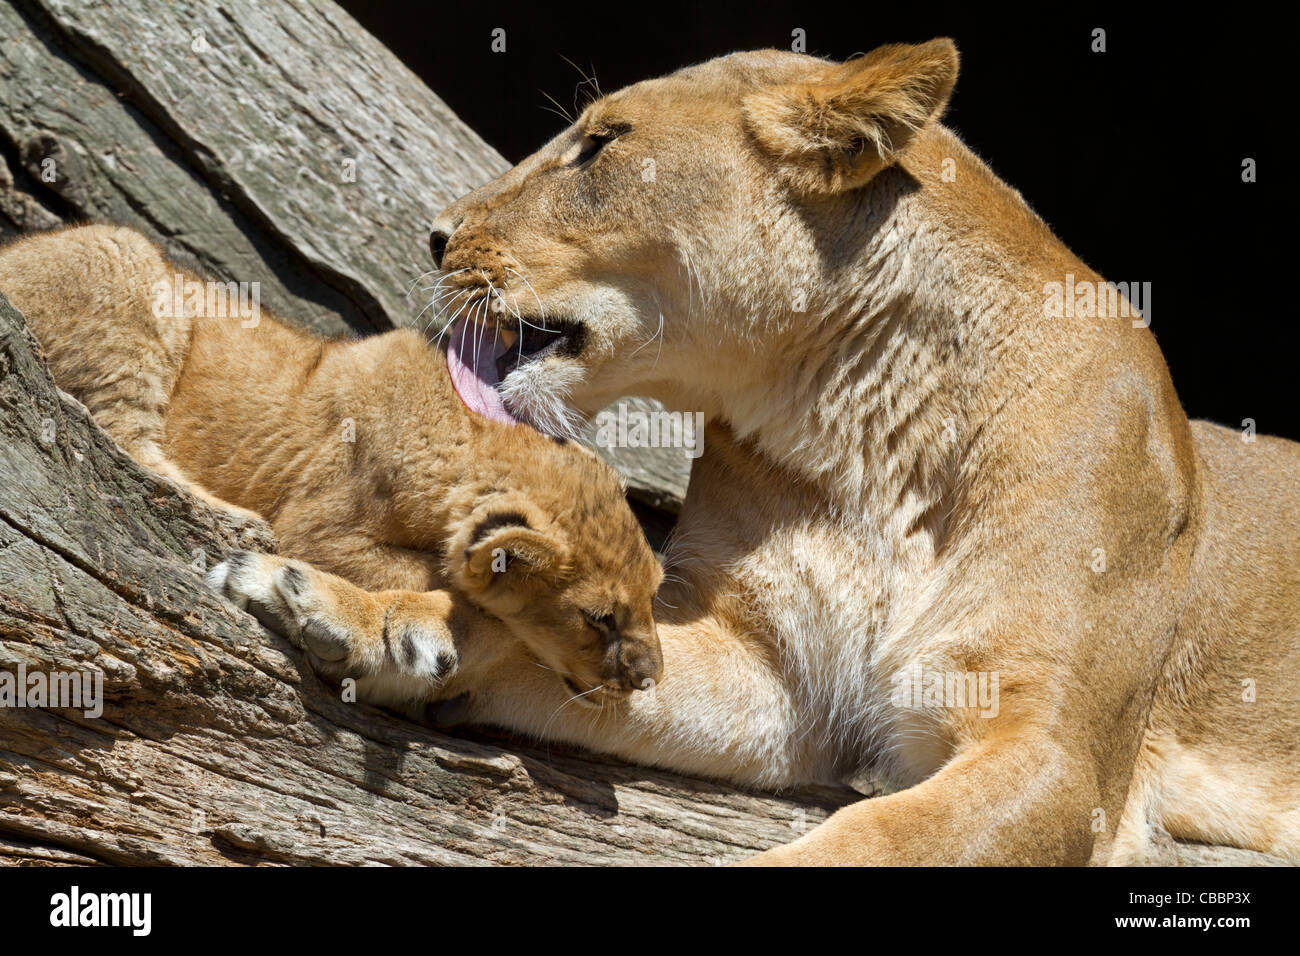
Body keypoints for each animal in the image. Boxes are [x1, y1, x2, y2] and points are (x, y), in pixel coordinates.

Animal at [0, 225, 664, 709]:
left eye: (656, 594)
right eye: (600, 619)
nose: (649, 679)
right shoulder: (322, 527)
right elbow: (450, 586)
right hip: (121, 259)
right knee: (115, 431)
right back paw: (232, 519)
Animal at [69, 38, 1300, 864]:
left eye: (600, 145)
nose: (433, 235)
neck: (858, 437)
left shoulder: (1053, 757)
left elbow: (864, 843)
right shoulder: (779, 679)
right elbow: (541, 653)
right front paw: (361, 613)